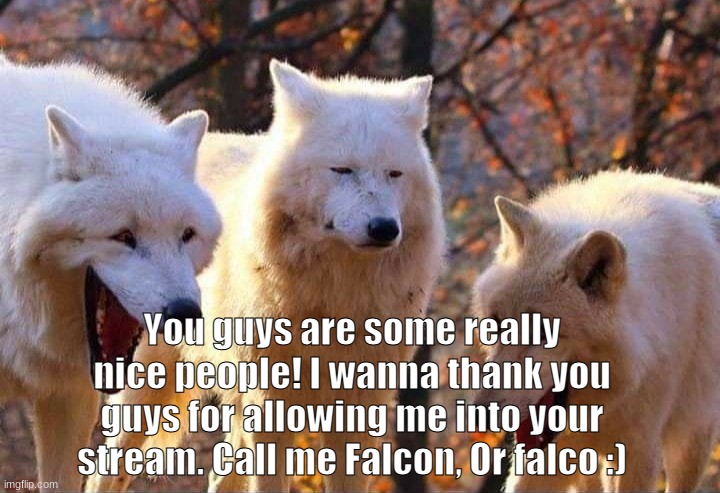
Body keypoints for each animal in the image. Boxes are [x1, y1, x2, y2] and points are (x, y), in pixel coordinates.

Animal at [88, 60, 446, 492]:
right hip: (150, 385)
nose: (384, 229)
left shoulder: (359, 406)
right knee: (106, 469)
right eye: (342, 170)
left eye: (395, 174)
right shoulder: (271, 403)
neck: (337, 296)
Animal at [472, 170, 720, 492]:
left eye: (544, 333)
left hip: (691, 440)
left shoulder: (639, 449)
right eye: (498, 323)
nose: (481, 413)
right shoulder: (549, 452)